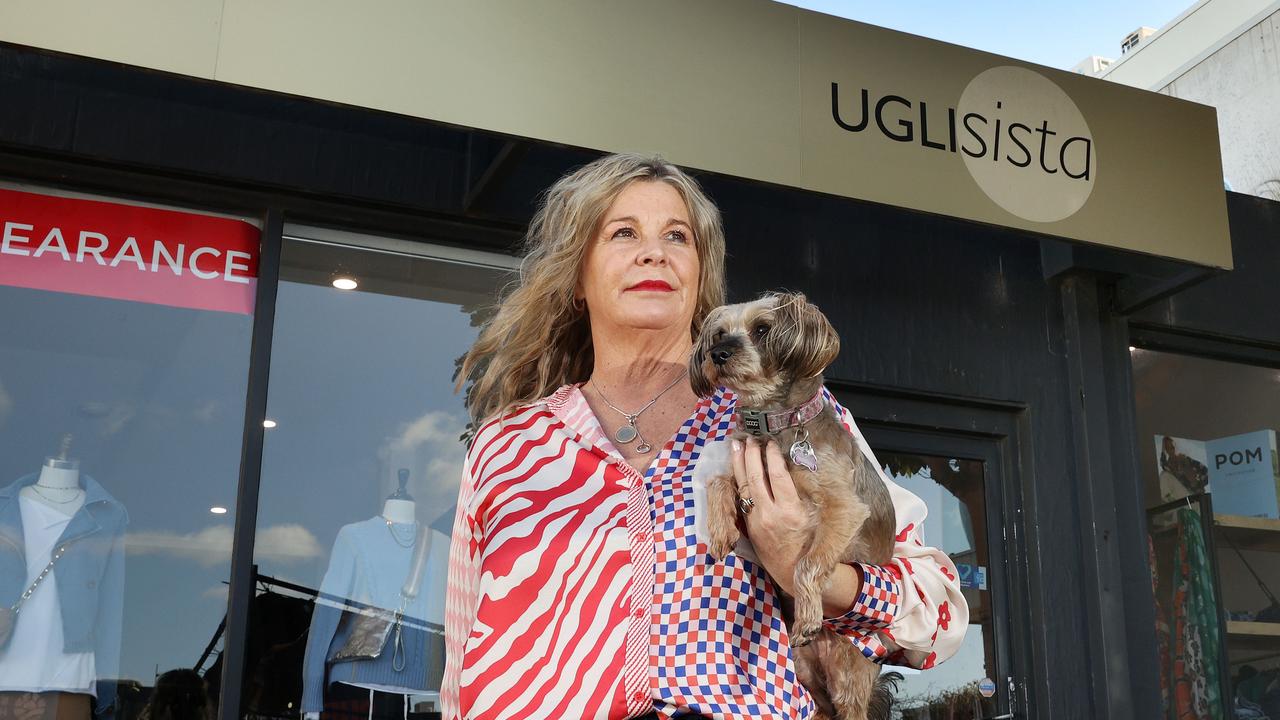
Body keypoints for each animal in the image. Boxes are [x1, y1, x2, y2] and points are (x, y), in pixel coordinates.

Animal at [691, 292, 901, 717]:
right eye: (719, 333)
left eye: (762, 329)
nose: (718, 353)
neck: (776, 425)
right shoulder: (744, 472)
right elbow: (719, 481)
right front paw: (721, 531)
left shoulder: (844, 508)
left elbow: (808, 562)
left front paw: (807, 615)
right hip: (803, 671)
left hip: (849, 672)